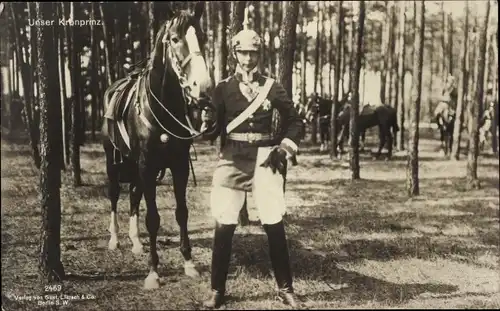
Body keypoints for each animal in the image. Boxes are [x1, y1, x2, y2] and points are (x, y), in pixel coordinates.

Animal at [100, 1, 212, 290]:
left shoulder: (179, 166)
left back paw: (136, 241)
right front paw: (153, 272)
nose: (203, 89)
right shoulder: (147, 166)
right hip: (114, 162)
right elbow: (153, 218)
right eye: (174, 39)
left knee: (134, 196)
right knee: (115, 195)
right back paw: (115, 239)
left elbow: (182, 212)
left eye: (203, 37)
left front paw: (189, 262)